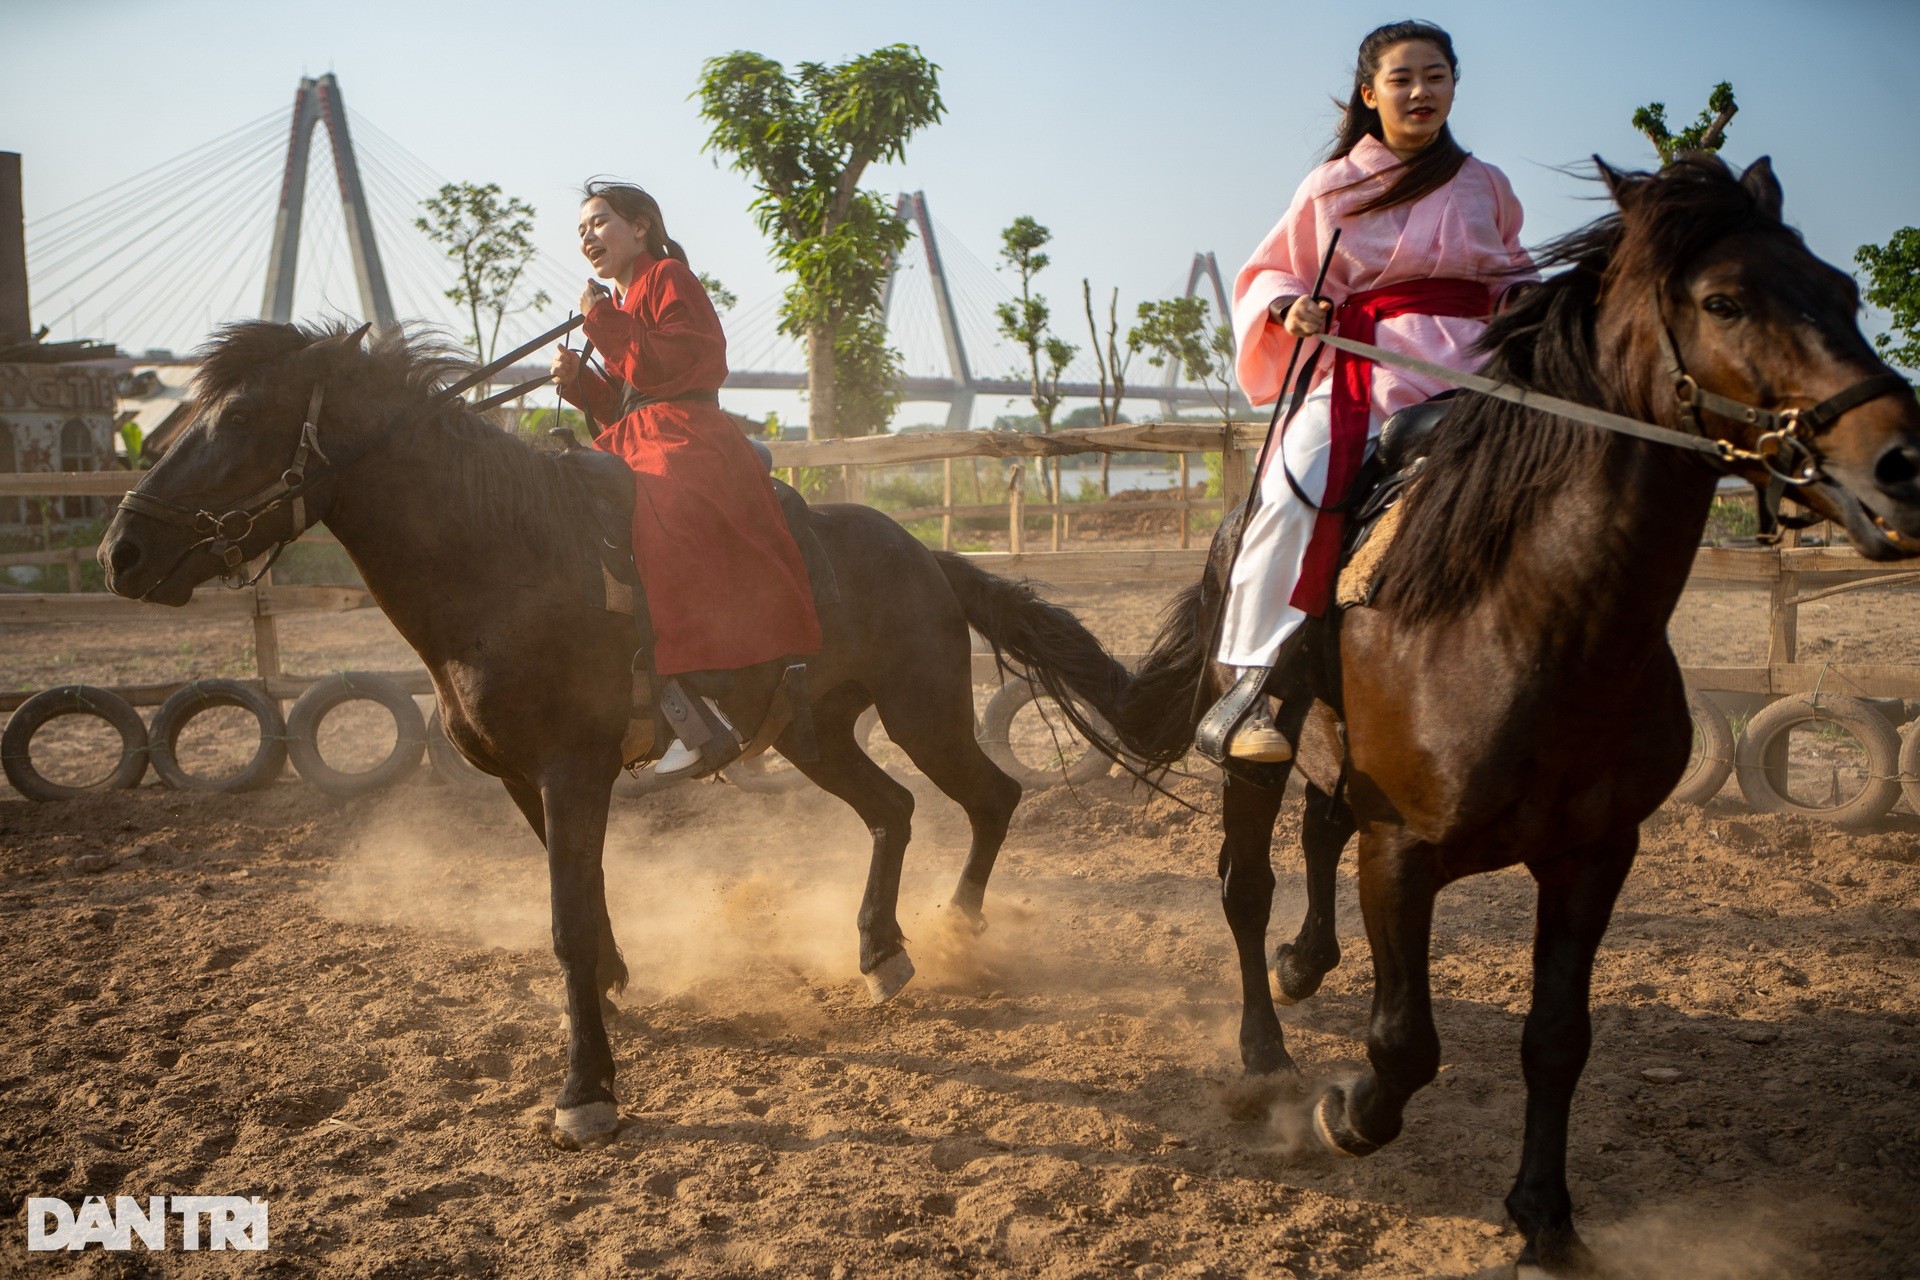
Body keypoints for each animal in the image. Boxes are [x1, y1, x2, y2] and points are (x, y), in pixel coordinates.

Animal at [97, 326, 1128, 1143]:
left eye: (236, 422)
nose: (122, 552)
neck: (506, 567)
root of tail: (927, 554)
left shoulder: (572, 769)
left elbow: (564, 923)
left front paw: (585, 1089)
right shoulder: (525, 781)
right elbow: (585, 908)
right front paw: (612, 1000)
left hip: (922, 709)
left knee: (989, 796)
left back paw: (956, 929)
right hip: (815, 735)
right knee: (894, 810)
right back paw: (881, 951)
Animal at [1121, 155, 1912, 1274]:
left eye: (1844, 291)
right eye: (1724, 301)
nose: (1901, 464)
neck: (1533, 624)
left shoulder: (1594, 852)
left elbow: (1557, 1037)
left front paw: (1545, 1214)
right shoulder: (1404, 852)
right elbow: (1405, 1040)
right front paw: (1348, 1114)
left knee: (1318, 832)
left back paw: (1306, 961)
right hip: (1253, 754)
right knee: (1247, 882)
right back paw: (1265, 1051)